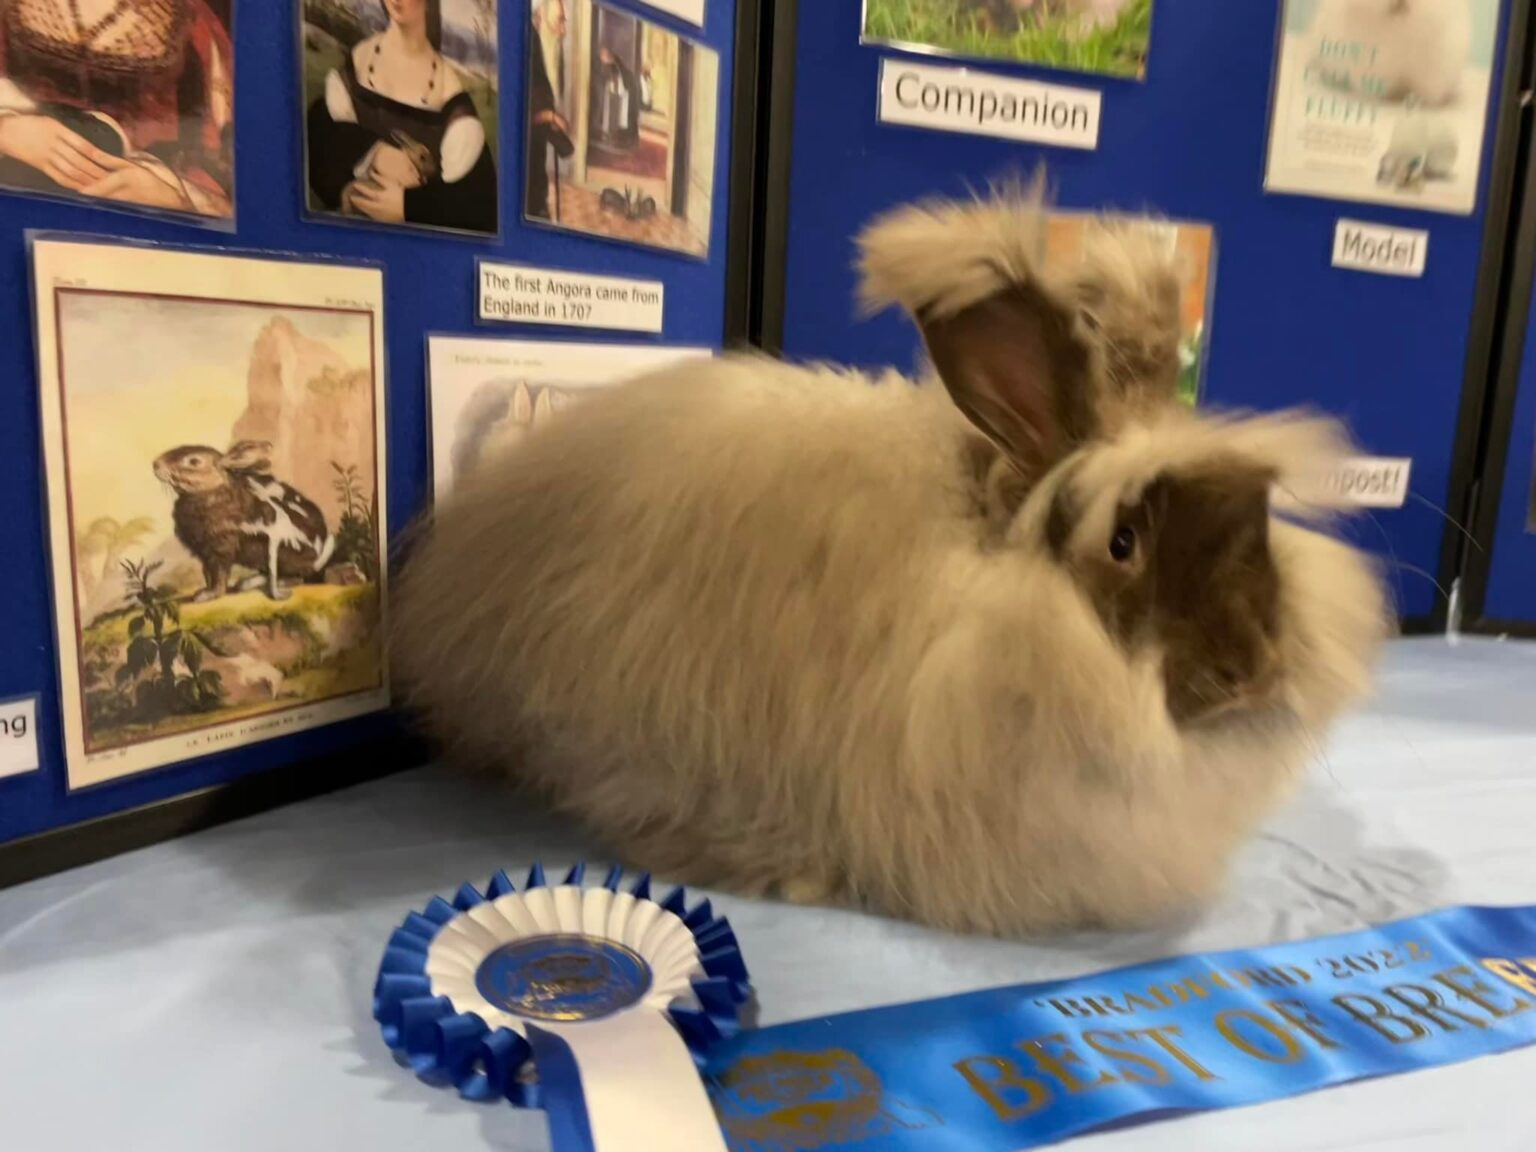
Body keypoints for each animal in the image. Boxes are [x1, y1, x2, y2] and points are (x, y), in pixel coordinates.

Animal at [153, 441, 335, 604]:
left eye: (194, 461)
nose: (156, 464)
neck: (211, 491)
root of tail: (319, 556)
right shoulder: (204, 553)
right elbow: (207, 574)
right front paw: (204, 591)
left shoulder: (221, 550)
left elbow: (219, 576)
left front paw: (208, 595)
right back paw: (246, 583)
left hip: (285, 555)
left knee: (297, 578)